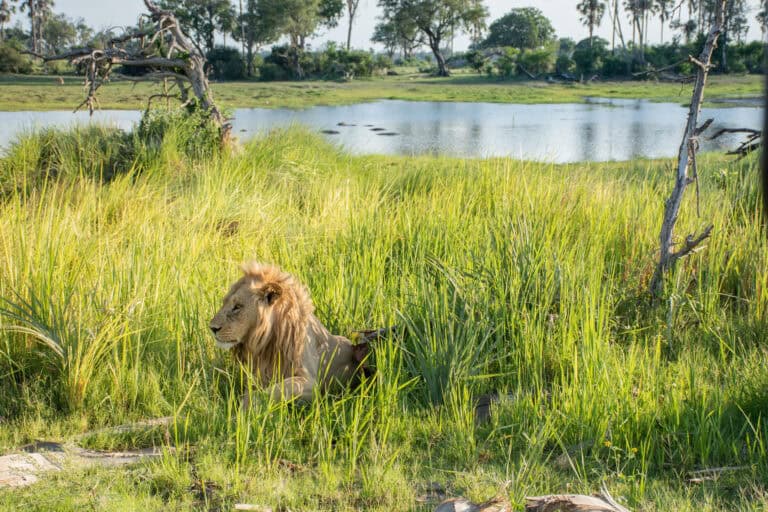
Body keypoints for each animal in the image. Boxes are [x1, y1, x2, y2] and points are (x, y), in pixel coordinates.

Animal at [209, 262, 365, 403]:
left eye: (237, 307)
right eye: (224, 303)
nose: (212, 328)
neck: (268, 342)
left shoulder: (311, 383)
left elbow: (274, 390)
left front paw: (245, 407)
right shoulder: (258, 375)